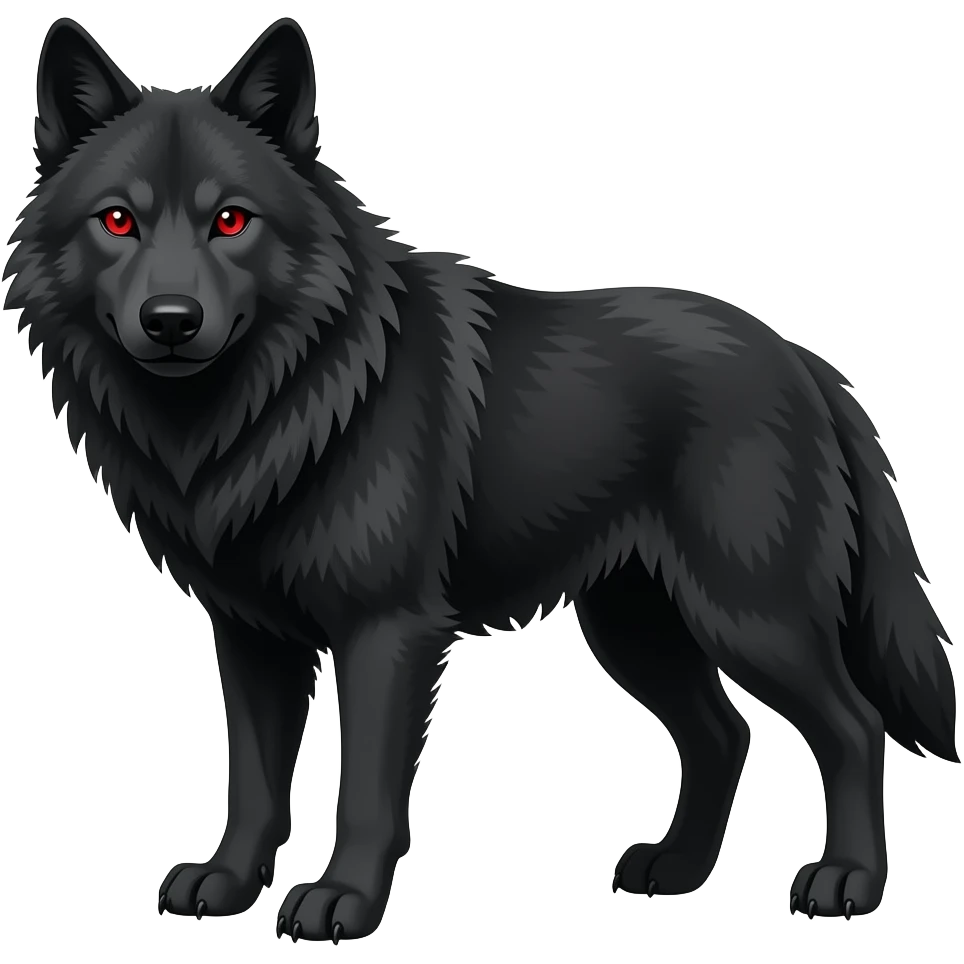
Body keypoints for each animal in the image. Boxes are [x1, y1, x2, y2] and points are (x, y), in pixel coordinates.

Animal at [3, 15, 959, 943]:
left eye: (231, 221)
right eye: (117, 221)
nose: (170, 320)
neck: (265, 408)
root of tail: (804, 360)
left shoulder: (386, 632)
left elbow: (367, 792)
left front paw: (343, 901)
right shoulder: (249, 636)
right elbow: (254, 781)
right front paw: (230, 884)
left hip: (750, 617)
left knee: (853, 727)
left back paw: (848, 882)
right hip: (637, 627)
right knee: (724, 734)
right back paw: (677, 871)